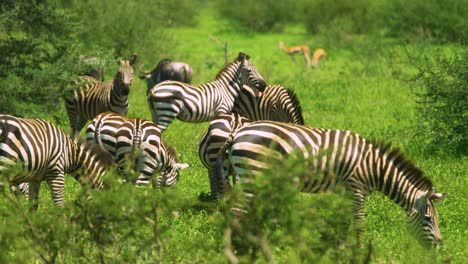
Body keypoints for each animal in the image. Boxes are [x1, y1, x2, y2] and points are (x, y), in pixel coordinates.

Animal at [216, 120, 446, 246]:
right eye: (428, 219)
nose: (439, 244)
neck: (374, 166)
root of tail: (237, 132)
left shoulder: (344, 192)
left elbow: (343, 222)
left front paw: (341, 247)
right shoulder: (356, 188)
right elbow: (359, 222)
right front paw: (359, 249)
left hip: (249, 176)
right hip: (253, 175)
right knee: (236, 212)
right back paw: (237, 246)